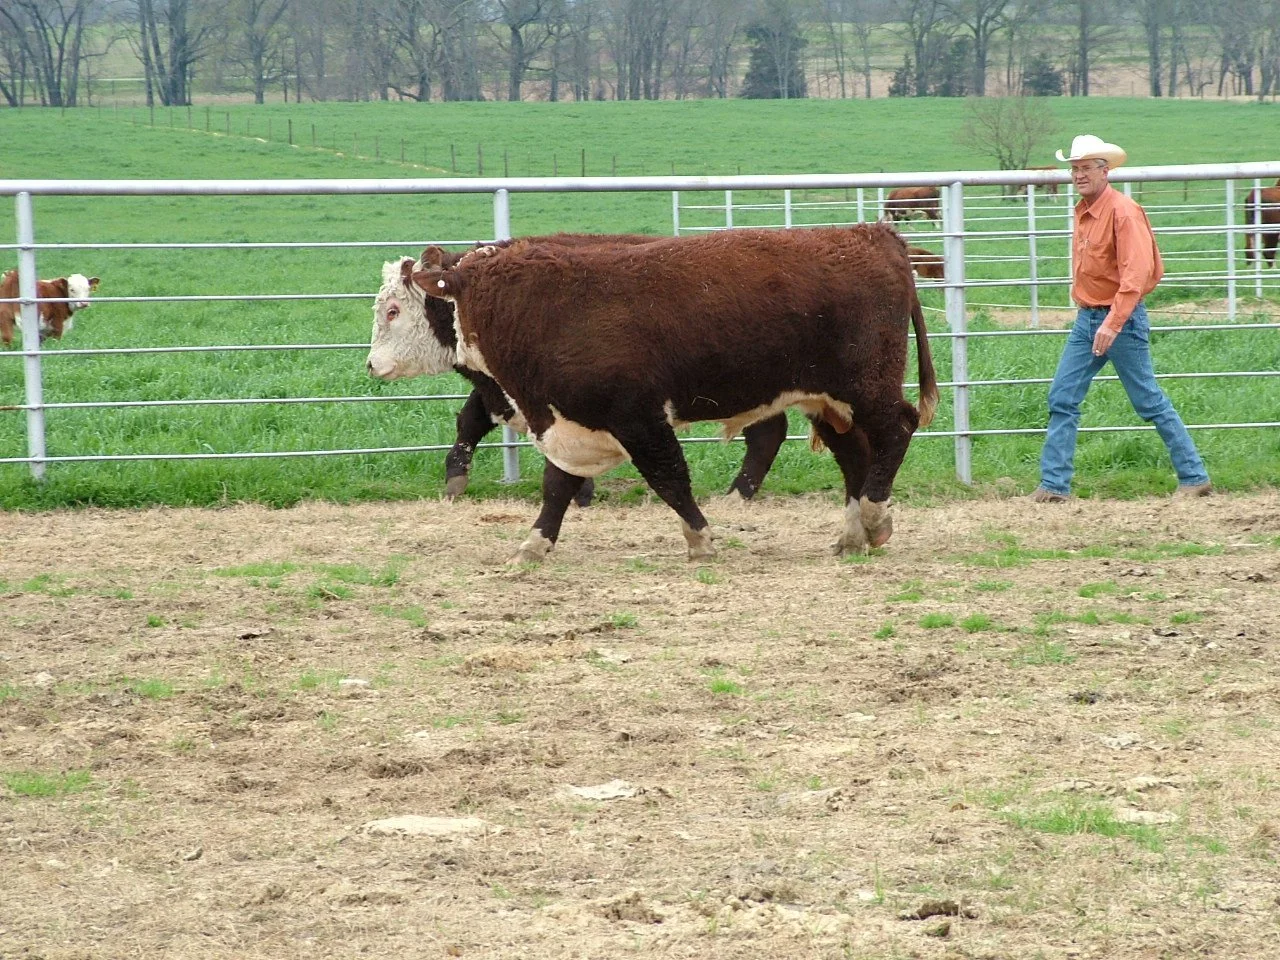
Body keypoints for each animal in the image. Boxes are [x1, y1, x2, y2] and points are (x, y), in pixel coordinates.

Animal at [369, 234, 791, 504]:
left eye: (393, 311)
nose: (372, 364)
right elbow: (472, 419)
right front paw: (455, 477)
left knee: (767, 433)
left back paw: (737, 493)